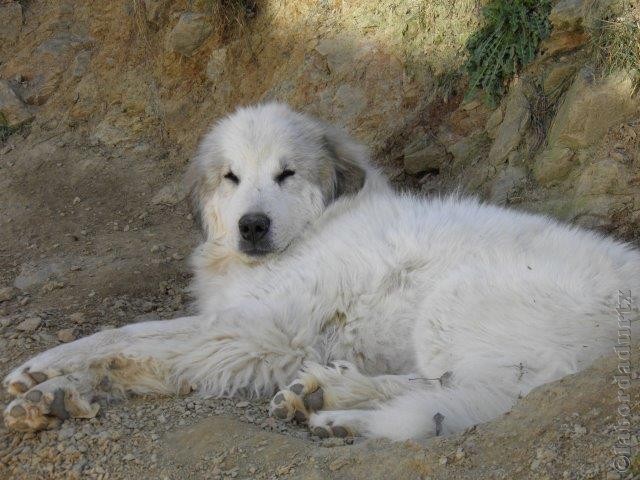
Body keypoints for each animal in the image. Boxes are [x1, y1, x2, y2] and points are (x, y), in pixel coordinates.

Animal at [2, 104, 636, 438]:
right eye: (231, 177)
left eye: (286, 174)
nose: (252, 225)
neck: (312, 228)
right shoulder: (240, 332)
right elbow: (136, 346)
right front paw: (51, 384)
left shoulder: (257, 336)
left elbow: (135, 338)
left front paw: (56, 375)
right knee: (441, 391)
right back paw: (325, 398)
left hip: (457, 302)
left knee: (469, 394)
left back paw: (342, 407)